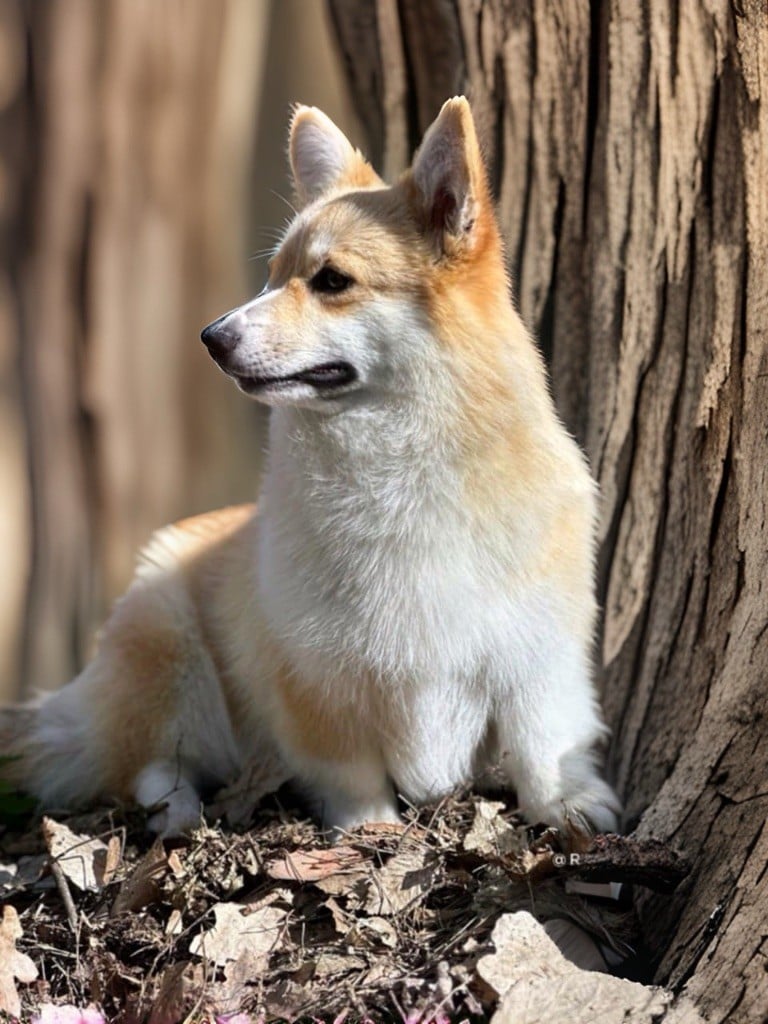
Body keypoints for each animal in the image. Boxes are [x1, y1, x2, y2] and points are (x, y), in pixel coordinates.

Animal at [0, 96, 622, 835]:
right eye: (271, 276)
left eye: (332, 282)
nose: (212, 338)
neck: (394, 462)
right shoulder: (318, 681)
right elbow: (351, 774)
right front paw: (369, 831)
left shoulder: (536, 650)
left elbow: (542, 736)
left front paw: (566, 802)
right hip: (165, 644)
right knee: (149, 763)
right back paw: (178, 811)